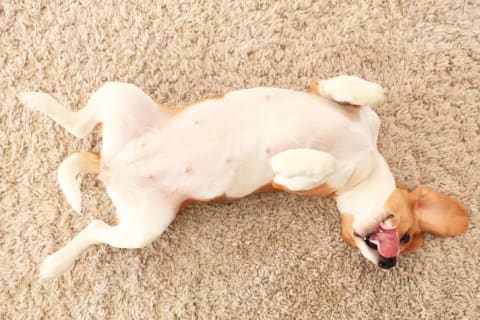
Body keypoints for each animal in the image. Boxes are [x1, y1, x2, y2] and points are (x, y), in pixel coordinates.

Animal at [22, 75, 468, 278]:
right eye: (405, 238)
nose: (387, 263)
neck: (366, 158)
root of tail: (110, 163)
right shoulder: (330, 94)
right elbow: (365, 91)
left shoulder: (302, 184)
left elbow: (314, 166)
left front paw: (296, 159)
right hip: (121, 94)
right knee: (78, 124)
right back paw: (35, 98)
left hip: (143, 226)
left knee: (94, 224)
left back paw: (57, 262)